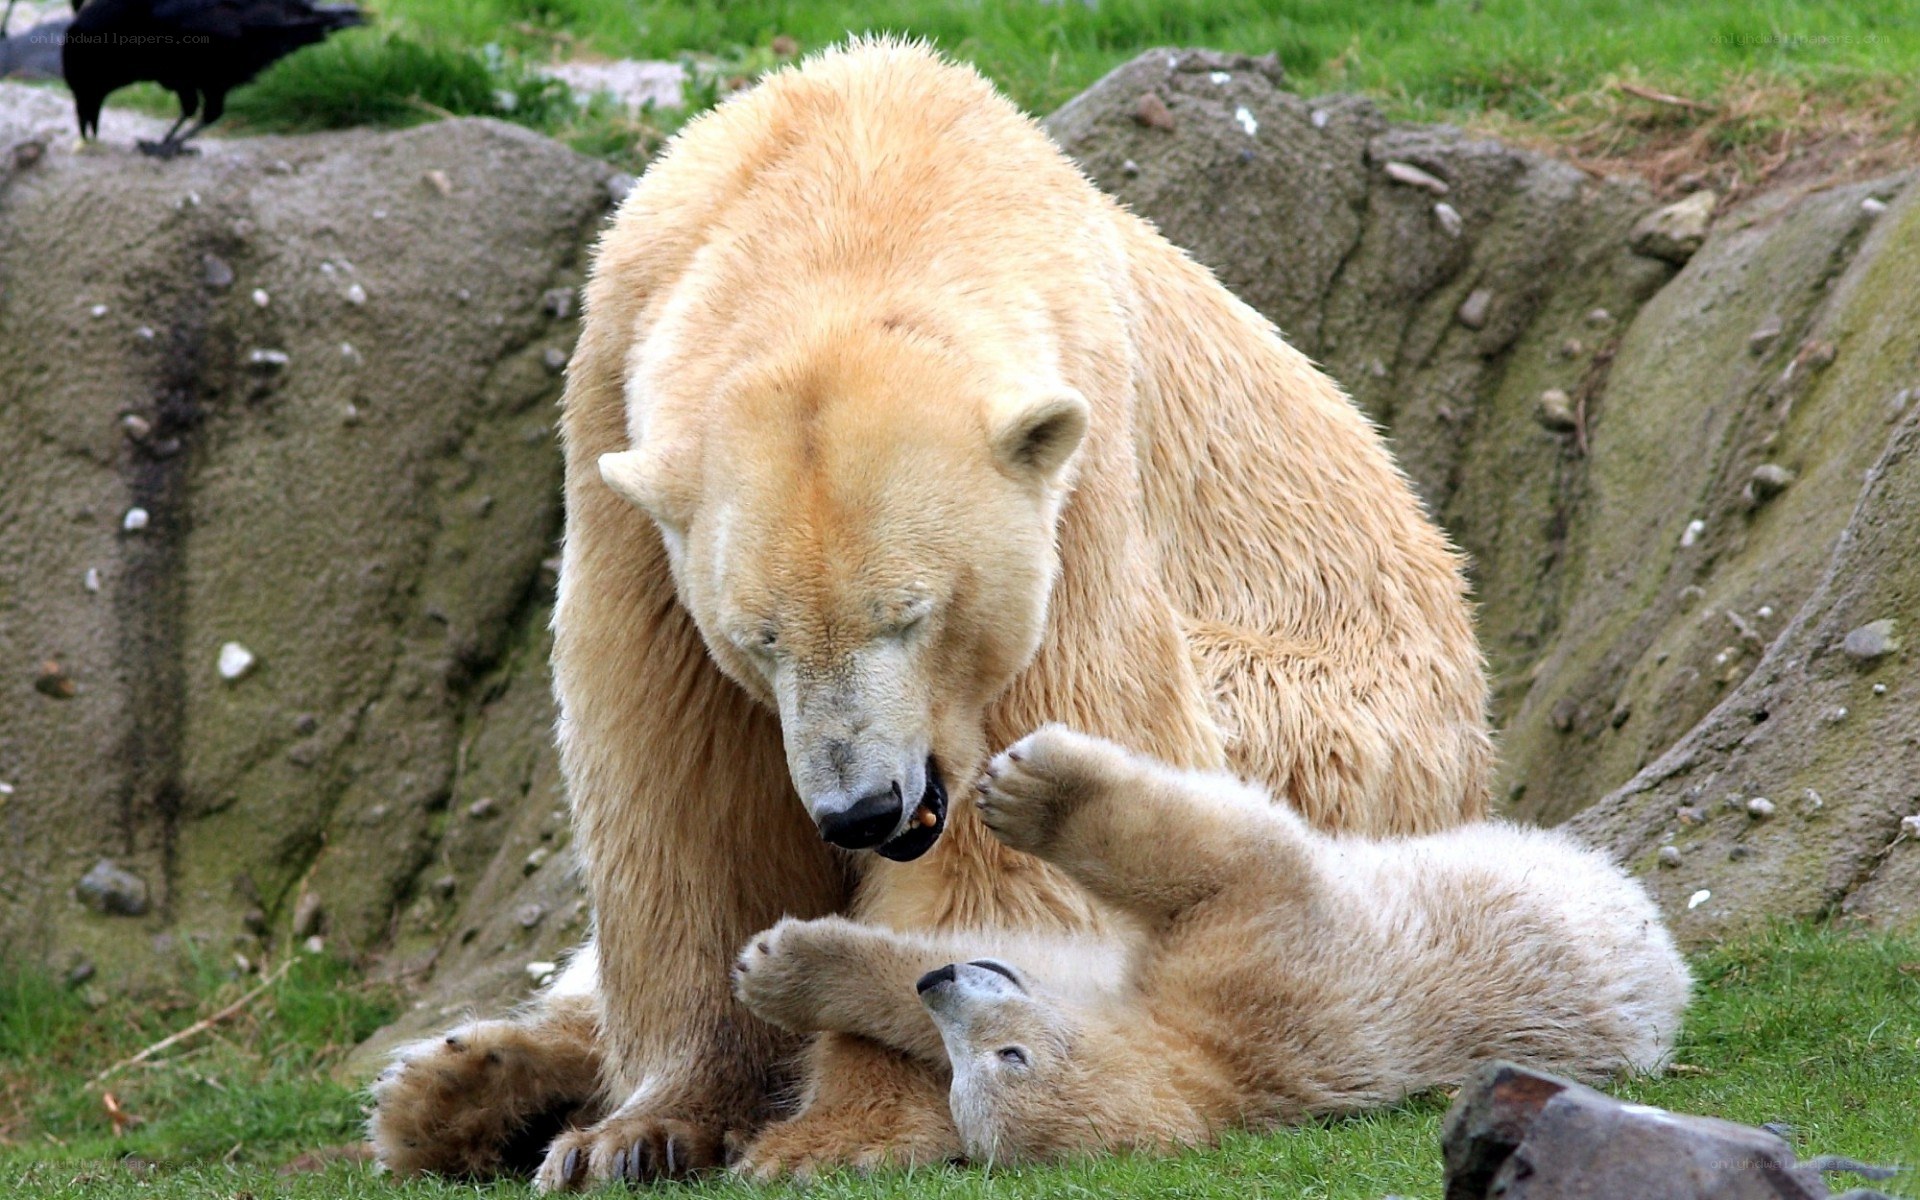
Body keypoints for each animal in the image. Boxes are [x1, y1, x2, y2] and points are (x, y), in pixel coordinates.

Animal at [368, 37, 1493, 1190]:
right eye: (760, 637)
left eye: (909, 614)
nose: (862, 809)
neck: (864, 173)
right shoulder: (617, 441)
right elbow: (685, 789)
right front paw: (635, 1134)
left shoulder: (1073, 481)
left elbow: (1021, 840)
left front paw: (842, 1124)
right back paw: (458, 1086)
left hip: (1328, 732)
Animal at [731, 725, 1690, 1165]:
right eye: (963, 1077)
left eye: (1008, 1059)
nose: (943, 985)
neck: (1220, 1073)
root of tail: (1670, 977)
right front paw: (781, 970)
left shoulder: (1261, 969)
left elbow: (1223, 862)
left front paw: (1032, 790)